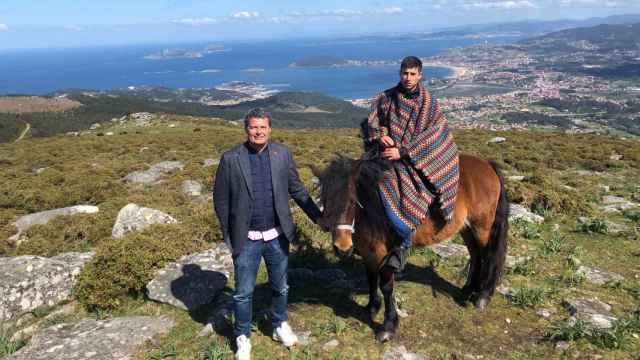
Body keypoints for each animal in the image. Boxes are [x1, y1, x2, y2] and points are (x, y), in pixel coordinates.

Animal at [312, 153, 508, 344]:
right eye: (325, 202)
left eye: (353, 202)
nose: (343, 248)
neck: (371, 207)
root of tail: (487, 164)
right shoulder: (368, 251)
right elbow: (371, 278)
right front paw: (371, 307)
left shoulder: (383, 253)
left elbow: (386, 286)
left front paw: (388, 328)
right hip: (466, 227)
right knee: (475, 255)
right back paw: (467, 290)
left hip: (482, 226)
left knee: (489, 256)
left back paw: (483, 296)